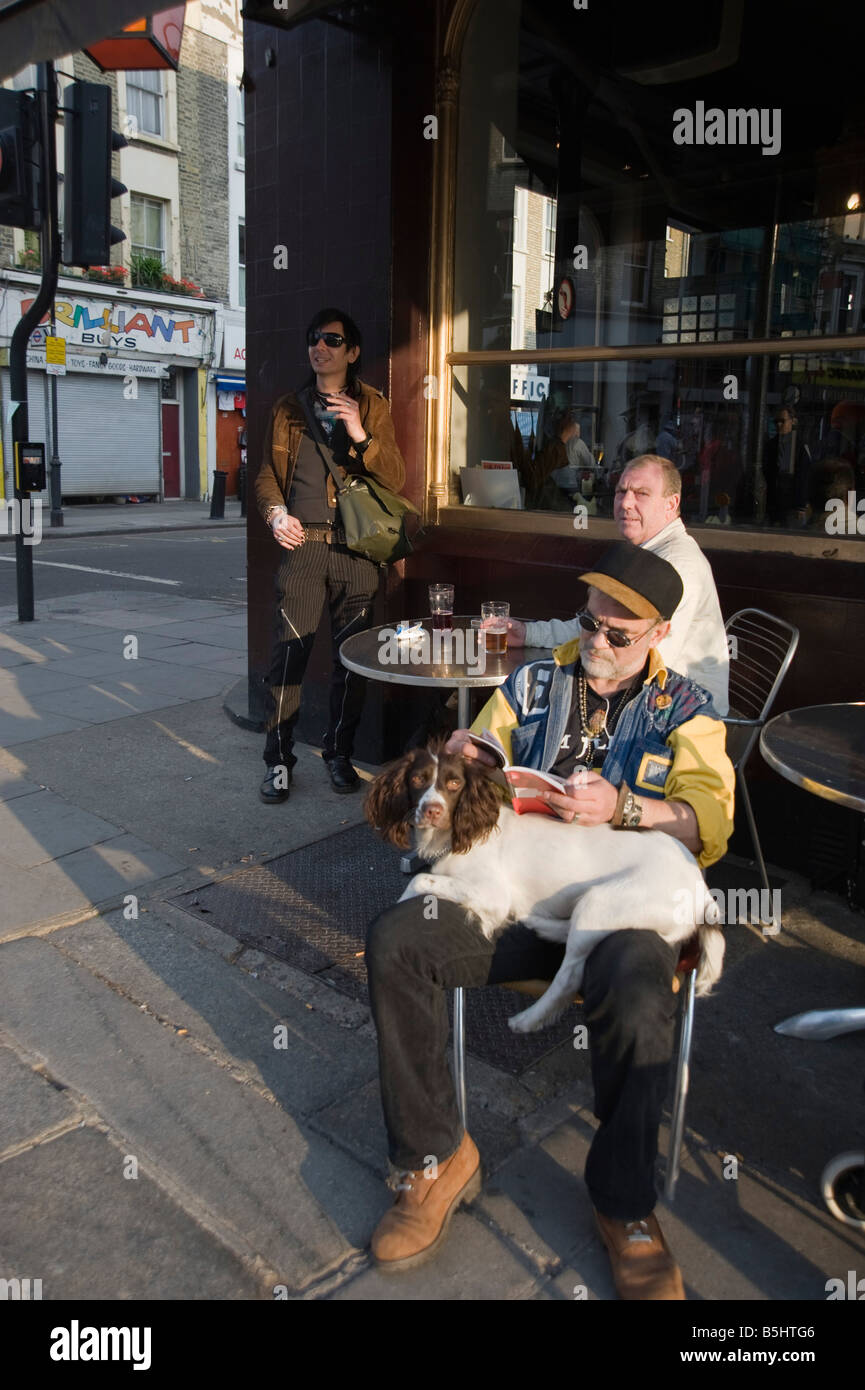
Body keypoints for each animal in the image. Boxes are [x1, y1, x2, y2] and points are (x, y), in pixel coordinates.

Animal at [367, 750, 723, 1034]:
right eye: (418, 778)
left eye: (454, 784)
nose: (432, 810)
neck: (460, 835)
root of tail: (703, 892)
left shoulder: (492, 893)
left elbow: (418, 881)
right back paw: (538, 923)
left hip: (603, 902)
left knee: (569, 975)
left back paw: (527, 1019)